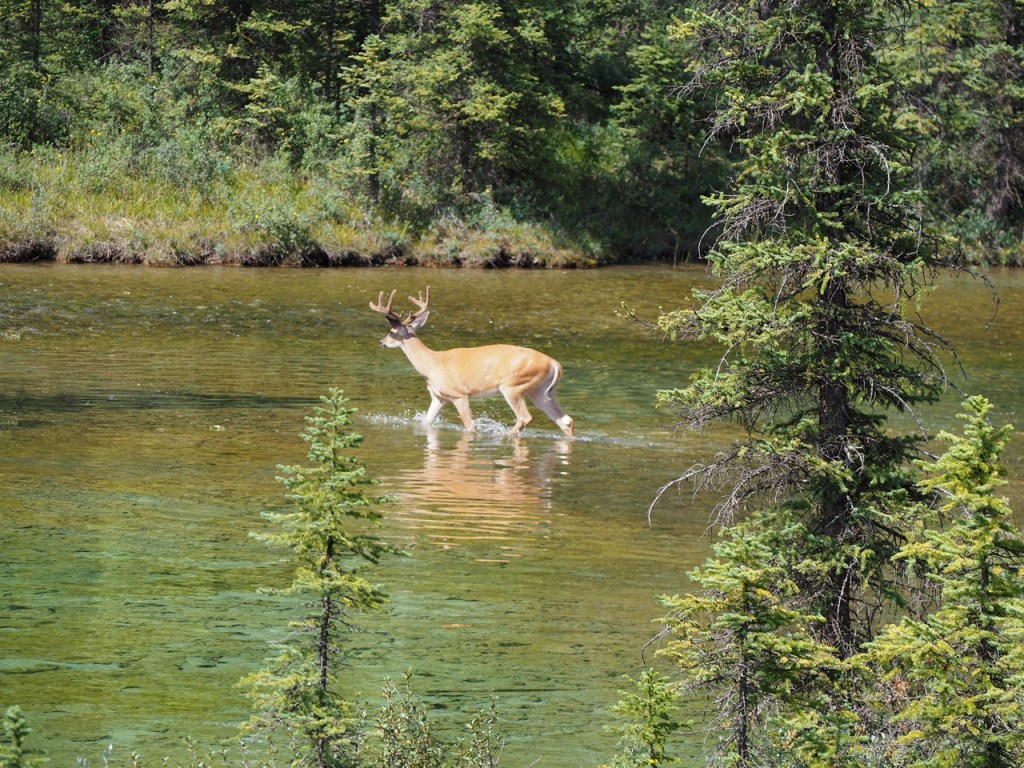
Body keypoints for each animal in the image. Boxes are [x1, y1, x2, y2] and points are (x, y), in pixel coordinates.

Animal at [369, 287, 575, 437]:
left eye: (391, 332)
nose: (381, 342)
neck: (431, 364)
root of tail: (555, 364)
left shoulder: (459, 394)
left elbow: (470, 426)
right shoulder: (439, 396)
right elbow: (426, 422)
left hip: (513, 386)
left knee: (525, 417)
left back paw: (504, 435)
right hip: (541, 391)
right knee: (566, 420)